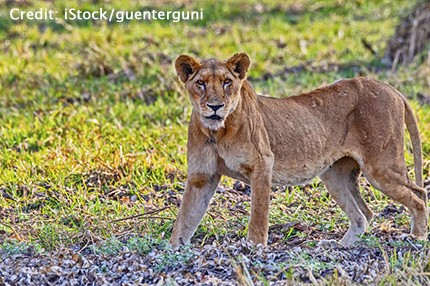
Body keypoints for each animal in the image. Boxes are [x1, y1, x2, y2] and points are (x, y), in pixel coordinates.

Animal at [168, 52, 426, 249]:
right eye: (201, 83)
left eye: (226, 82)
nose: (215, 106)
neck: (217, 132)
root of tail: (392, 89)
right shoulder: (202, 176)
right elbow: (185, 218)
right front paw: (172, 251)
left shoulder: (263, 164)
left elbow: (258, 215)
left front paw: (254, 248)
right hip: (335, 175)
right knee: (364, 215)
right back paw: (339, 246)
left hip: (381, 167)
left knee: (419, 196)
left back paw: (417, 238)